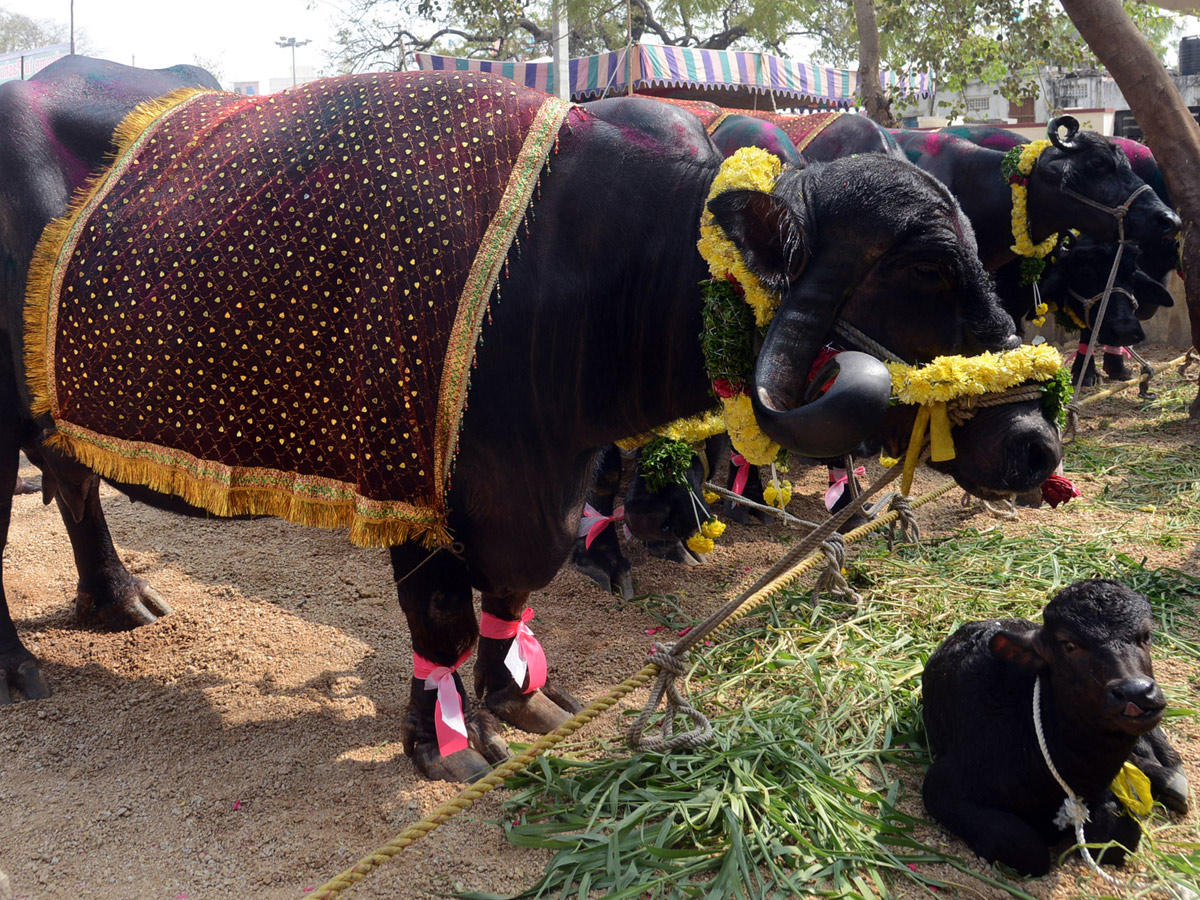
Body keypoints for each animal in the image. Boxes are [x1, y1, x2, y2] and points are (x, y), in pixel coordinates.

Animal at [4, 61, 1065, 782]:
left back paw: (118, 600)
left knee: (73, 485)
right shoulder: (412, 486)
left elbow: (514, 593)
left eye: (973, 252)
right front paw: (446, 743)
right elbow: (439, 617)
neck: (570, 268)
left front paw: (522, 697)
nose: (1035, 443)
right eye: (923, 268)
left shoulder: (542, 478)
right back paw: (23, 669)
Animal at [916, 580, 1180, 878]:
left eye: (1146, 635)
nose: (1135, 692)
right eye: (1068, 644)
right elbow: (1026, 848)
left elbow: (1116, 839)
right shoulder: (942, 783)